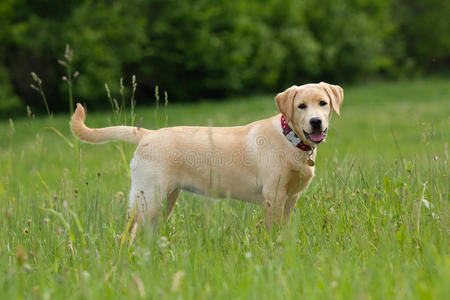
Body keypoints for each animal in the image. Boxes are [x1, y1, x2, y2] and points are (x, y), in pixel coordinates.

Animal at [72, 82, 342, 230]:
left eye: (323, 103)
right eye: (301, 106)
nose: (316, 122)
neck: (291, 140)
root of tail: (147, 134)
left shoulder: (291, 198)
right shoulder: (273, 197)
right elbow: (272, 230)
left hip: (166, 199)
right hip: (148, 197)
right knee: (127, 233)